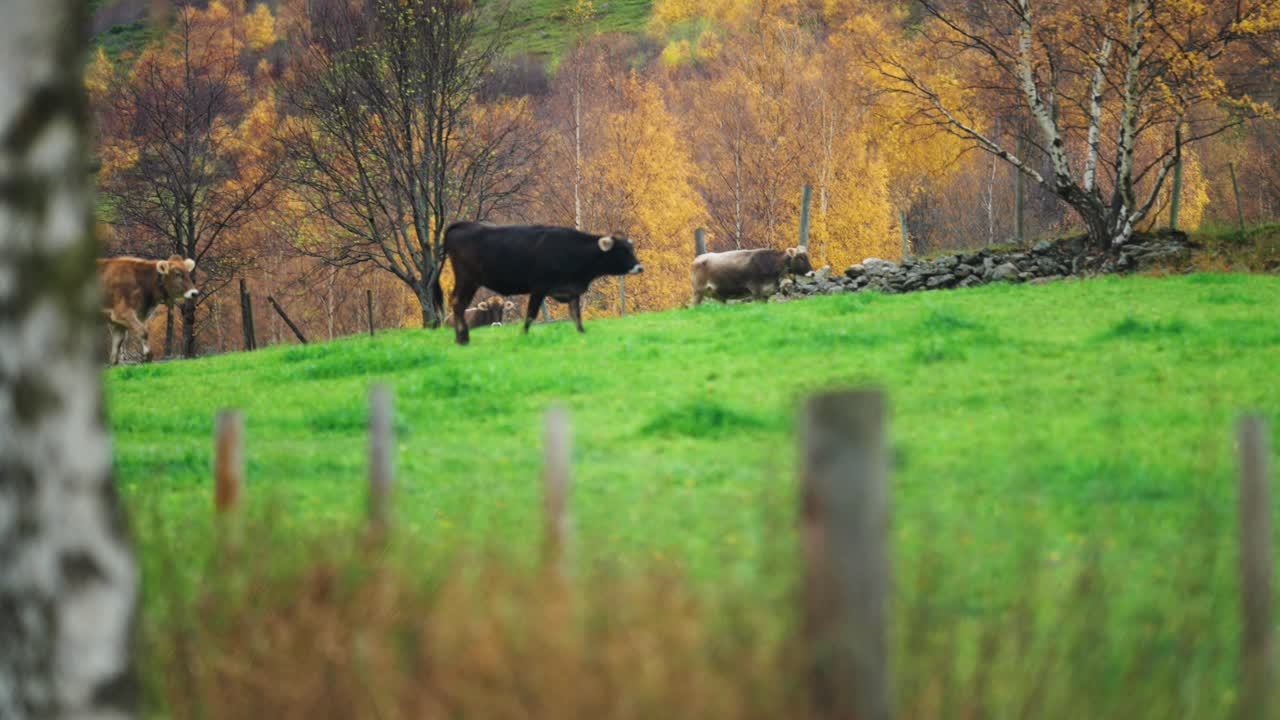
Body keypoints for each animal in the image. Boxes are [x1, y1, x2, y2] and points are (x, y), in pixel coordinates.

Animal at [432, 222, 643, 345]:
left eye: (631, 248)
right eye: (622, 250)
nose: (639, 267)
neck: (572, 250)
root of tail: (464, 225)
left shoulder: (571, 291)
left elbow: (576, 315)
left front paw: (582, 333)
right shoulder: (539, 288)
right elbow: (531, 315)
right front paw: (523, 335)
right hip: (467, 279)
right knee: (458, 303)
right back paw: (462, 338)